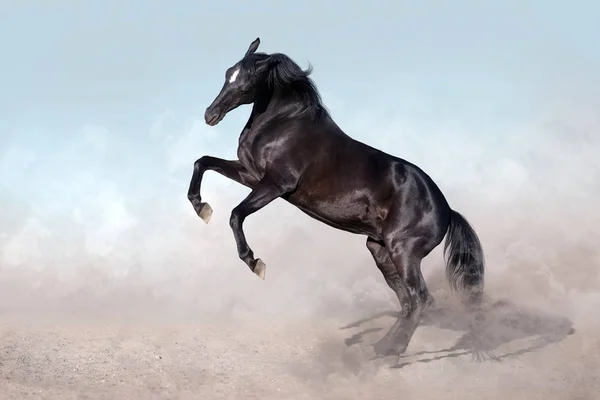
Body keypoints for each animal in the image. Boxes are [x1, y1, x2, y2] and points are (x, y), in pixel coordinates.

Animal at [185, 38, 486, 356]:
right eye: (227, 74)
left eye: (245, 83)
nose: (210, 115)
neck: (284, 125)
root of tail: (447, 210)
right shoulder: (251, 175)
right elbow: (202, 162)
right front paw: (201, 208)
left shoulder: (276, 185)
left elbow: (236, 215)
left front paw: (255, 263)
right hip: (379, 249)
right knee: (406, 301)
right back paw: (381, 348)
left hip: (403, 251)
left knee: (420, 299)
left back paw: (390, 352)